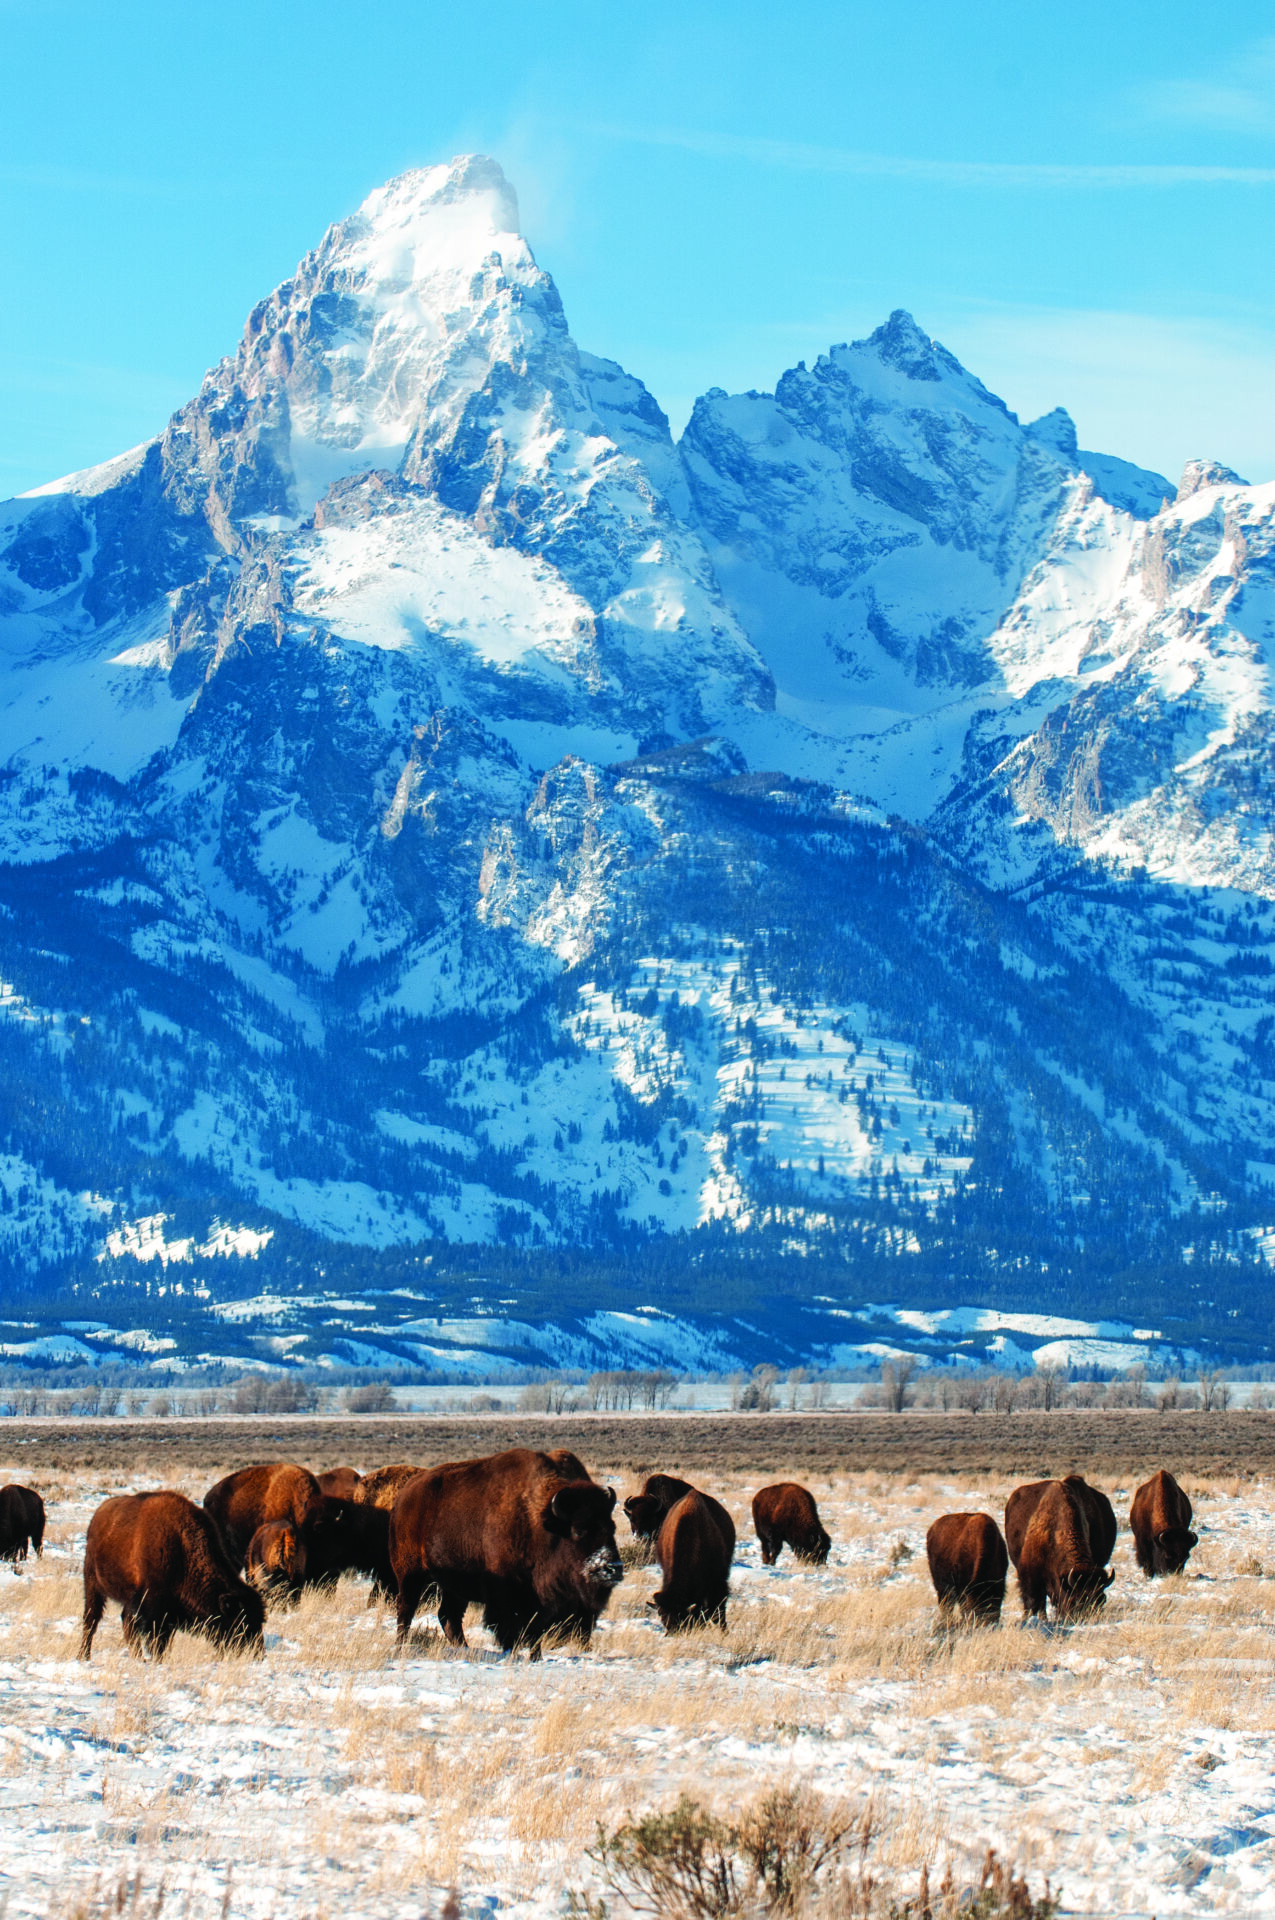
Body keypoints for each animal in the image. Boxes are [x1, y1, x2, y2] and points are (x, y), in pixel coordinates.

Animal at [79, 1489, 263, 1658]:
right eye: (240, 1623)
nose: (258, 1655)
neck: (181, 1546)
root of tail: (99, 1514)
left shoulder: (167, 1613)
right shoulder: (151, 1608)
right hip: (93, 1585)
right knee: (91, 1621)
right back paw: (84, 1656)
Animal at [391, 1443, 625, 1658]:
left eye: (612, 1527)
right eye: (578, 1530)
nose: (612, 1568)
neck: (542, 1521)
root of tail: (405, 1495)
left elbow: (535, 1632)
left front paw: (535, 1657)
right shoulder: (507, 1596)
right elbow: (510, 1629)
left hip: (453, 1585)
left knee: (449, 1616)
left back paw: (464, 1649)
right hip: (411, 1573)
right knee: (407, 1609)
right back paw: (401, 1646)